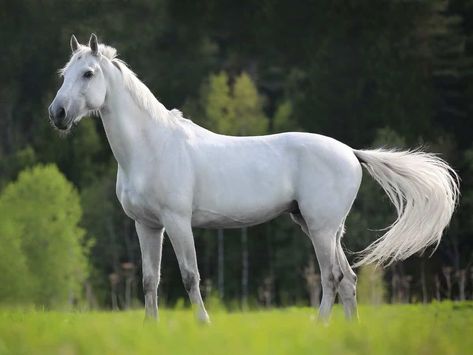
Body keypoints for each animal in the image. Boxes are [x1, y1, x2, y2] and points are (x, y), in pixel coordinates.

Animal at [48, 34, 458, 322]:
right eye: (64, 75)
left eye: (88, 73)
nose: (58, 113)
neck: (152, 146)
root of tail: (351, 153)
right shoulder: (147, 225)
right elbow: (151, 281)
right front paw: (151, 328)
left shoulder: (177, 222)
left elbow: (191, 276)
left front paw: (204, 324)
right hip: (319, 227)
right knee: (348, 280)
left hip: (321, 228)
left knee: (331, 278)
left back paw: (319, 326)